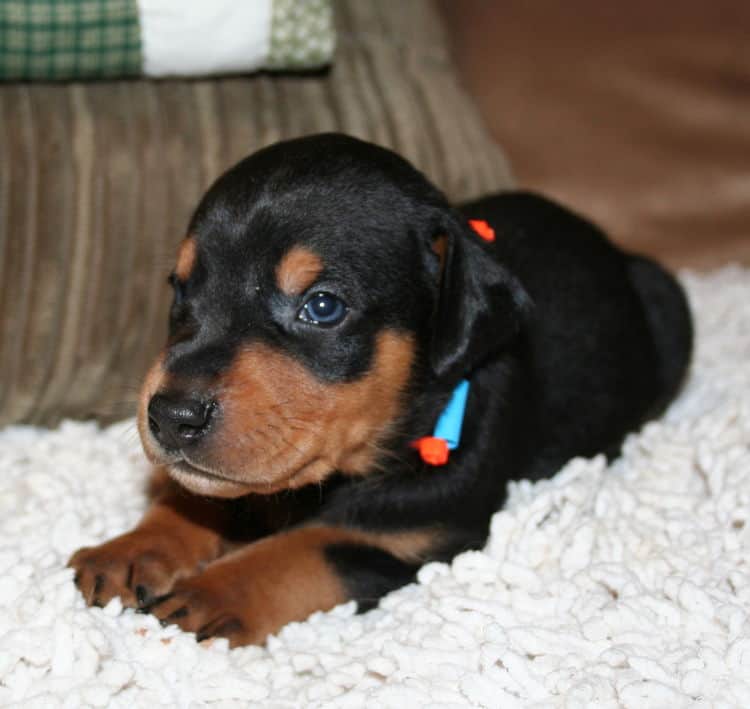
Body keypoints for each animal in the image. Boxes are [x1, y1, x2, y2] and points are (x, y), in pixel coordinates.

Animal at [70, 133, 692, 648]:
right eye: (180, 289)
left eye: (322, 306)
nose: (171, 416)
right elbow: (199, 495)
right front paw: (133, 547)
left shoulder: (416, 538)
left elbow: (305, 548)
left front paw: (213, 591)